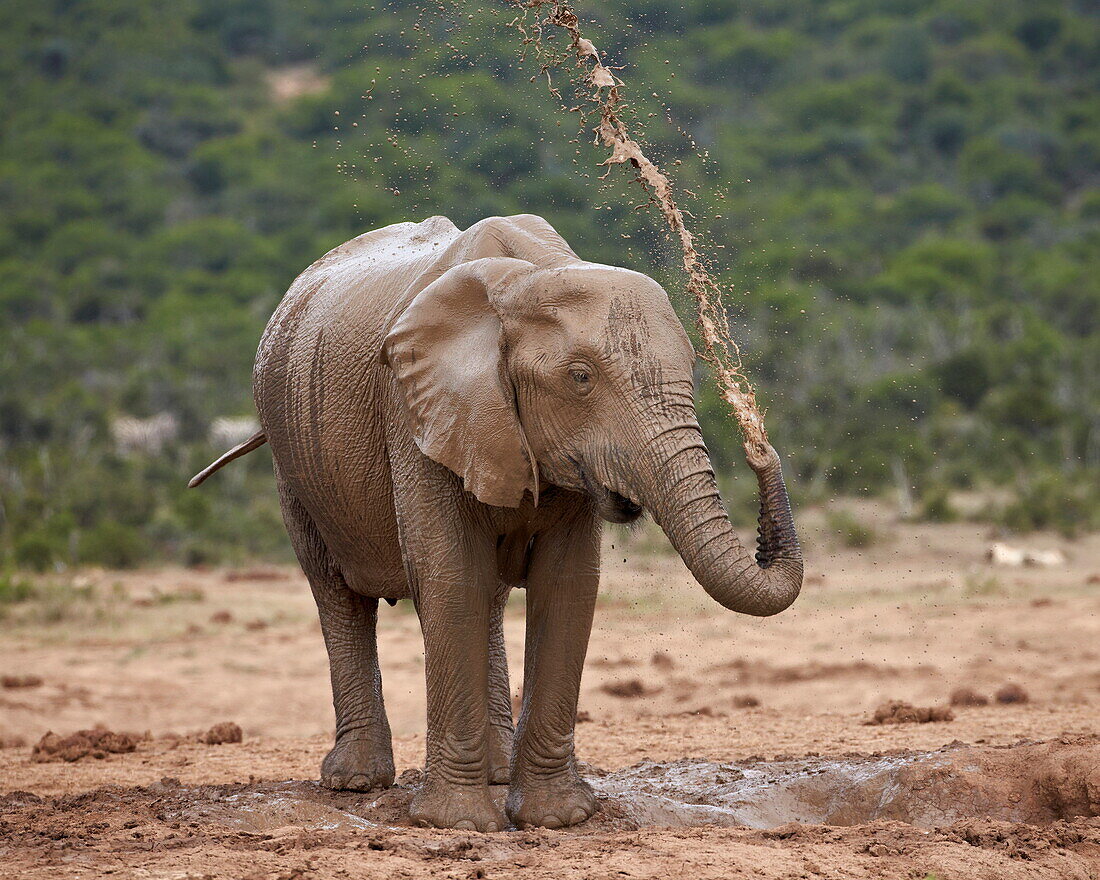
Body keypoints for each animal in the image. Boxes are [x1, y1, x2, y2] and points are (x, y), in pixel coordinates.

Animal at [193, 213, 805, 831]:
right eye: (580, 378)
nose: (757, 440)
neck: (527, 281)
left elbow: (566, 585)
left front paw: (557, 818)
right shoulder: (415, 410)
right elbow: (452, 577)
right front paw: (458, 825)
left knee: (485, 598)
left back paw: (495, 771)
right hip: (292, 459)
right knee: (337, 592)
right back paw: (356, 781)